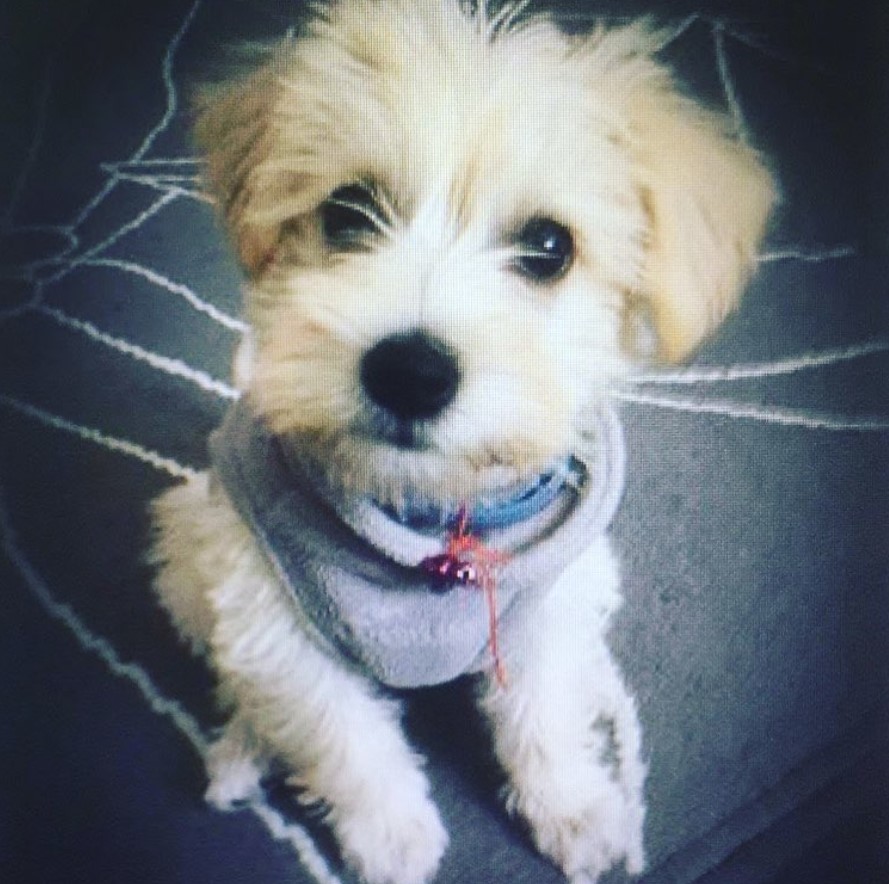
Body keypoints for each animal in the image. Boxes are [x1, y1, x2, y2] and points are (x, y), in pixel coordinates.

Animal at [149, 3, 772, 880]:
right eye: (347, 212)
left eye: (548, 246)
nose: (409, 372)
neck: (438, 518)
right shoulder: (274, 616)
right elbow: (343, 736)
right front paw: (390, 836)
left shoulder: (549, 605)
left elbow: (544, 715)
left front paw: (574, 807)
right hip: (189, 546)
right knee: (247, 689)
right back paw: (242, 750)